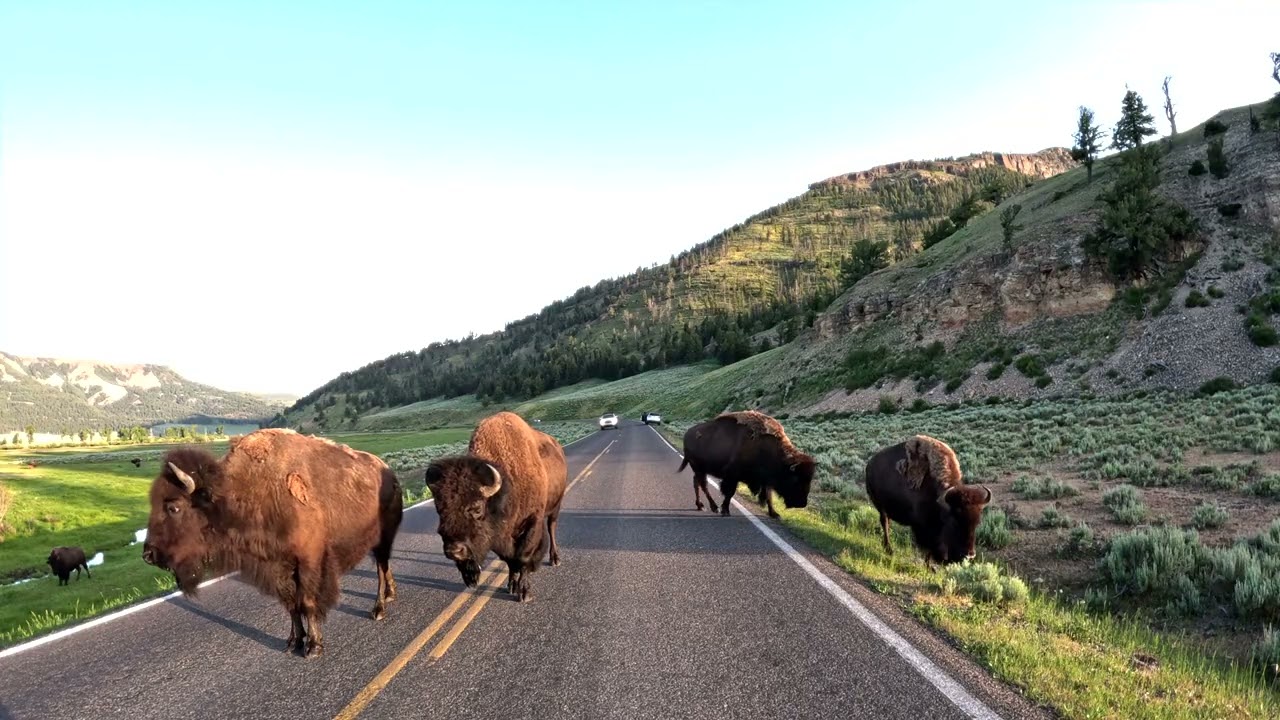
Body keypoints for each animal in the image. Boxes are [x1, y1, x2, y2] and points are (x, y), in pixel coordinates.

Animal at [142, 428, 404, 658]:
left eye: (173, 507)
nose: (148, 555)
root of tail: (387, 470)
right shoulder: (277, 566)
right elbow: (291, 605)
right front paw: (293, 642)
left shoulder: (308, 560)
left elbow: (307, 602)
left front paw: (313, 647)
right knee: (384, 566)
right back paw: (390, 595)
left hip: (382, 537)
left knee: (381, 568)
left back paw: (379, 609)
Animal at [425, 411, 566, 602]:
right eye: (439, 510)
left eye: (477, 508)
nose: (454, 551)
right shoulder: (500, 537)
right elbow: (509, 560)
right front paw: (512, 585)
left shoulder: (532, 523)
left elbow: (523, 556)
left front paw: (525, 592)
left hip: (555, 506)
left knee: (552, 528)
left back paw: (555, 559)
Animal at [677, 410, 816, 518]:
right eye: (795, 479)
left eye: (810, 479)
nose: (802, 503)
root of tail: (687, 434)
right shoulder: (732, 476)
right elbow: (729, 493)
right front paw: (725, 511)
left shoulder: (766, 481)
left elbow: (769, 496)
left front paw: (775, 514)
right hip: (699, 468)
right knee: (703, 486)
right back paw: (714, 507)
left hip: (700, 470)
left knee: (697, 483)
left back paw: (700, 506)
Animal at [864, 434, 992, 570]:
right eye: (955, 522)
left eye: (977, 522)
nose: (969, 555)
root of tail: (869, 465)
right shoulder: (925, 527)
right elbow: (929, 545)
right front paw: (929, 566)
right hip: (880, 506)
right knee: (885, 523)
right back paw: (889, 550)